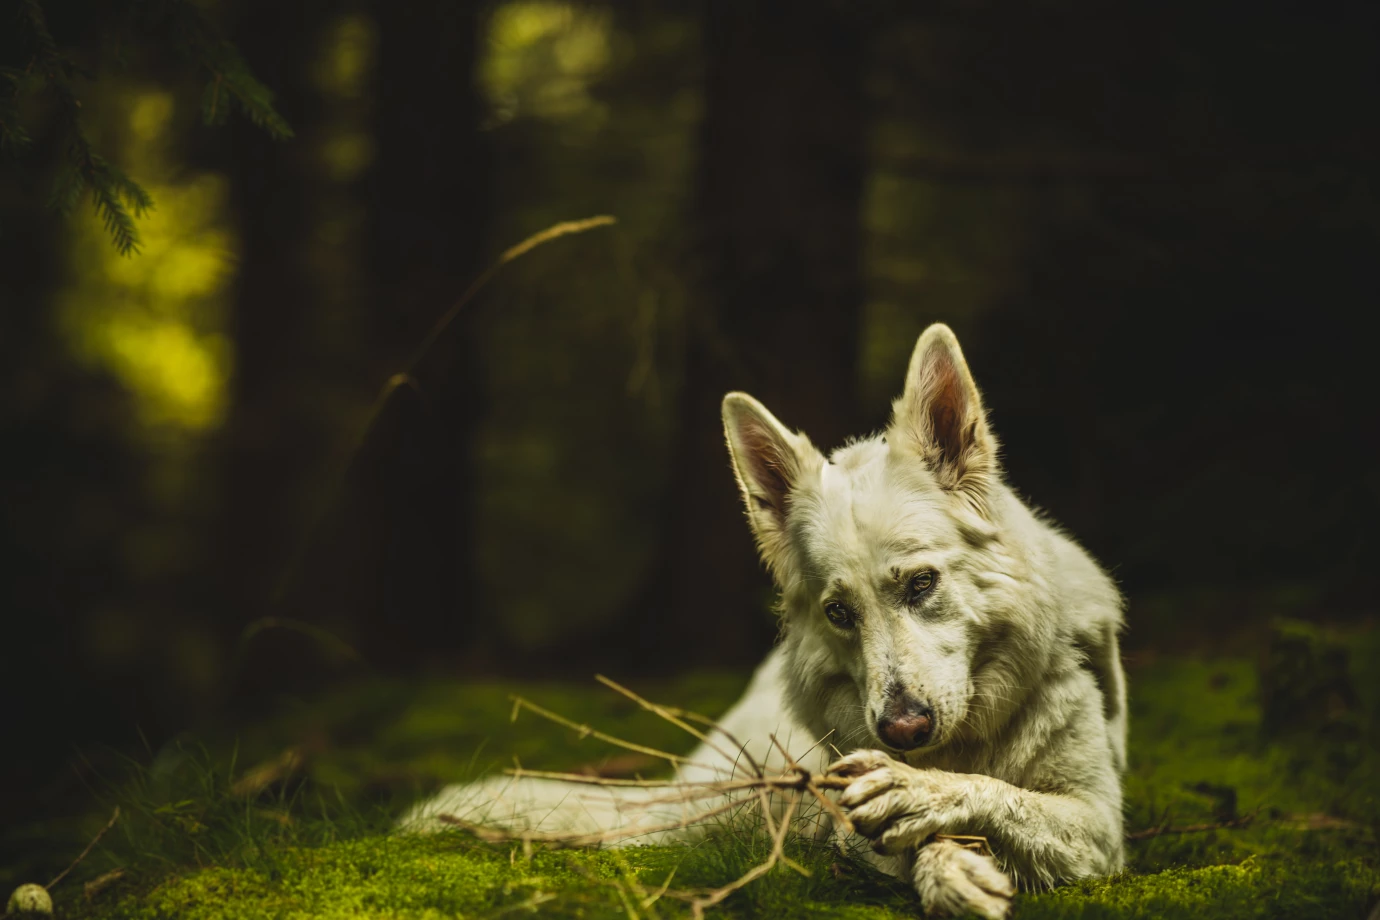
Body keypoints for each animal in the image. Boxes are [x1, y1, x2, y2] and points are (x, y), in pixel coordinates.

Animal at [402, 325, 1126, 920]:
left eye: (922, 584)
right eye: (839, 613)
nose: (902, 731)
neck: (969, 740)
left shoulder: (1099, 824)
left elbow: (993, 793)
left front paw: (925, 796)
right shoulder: (848, 813)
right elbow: (893, 835)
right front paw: (945, 860)